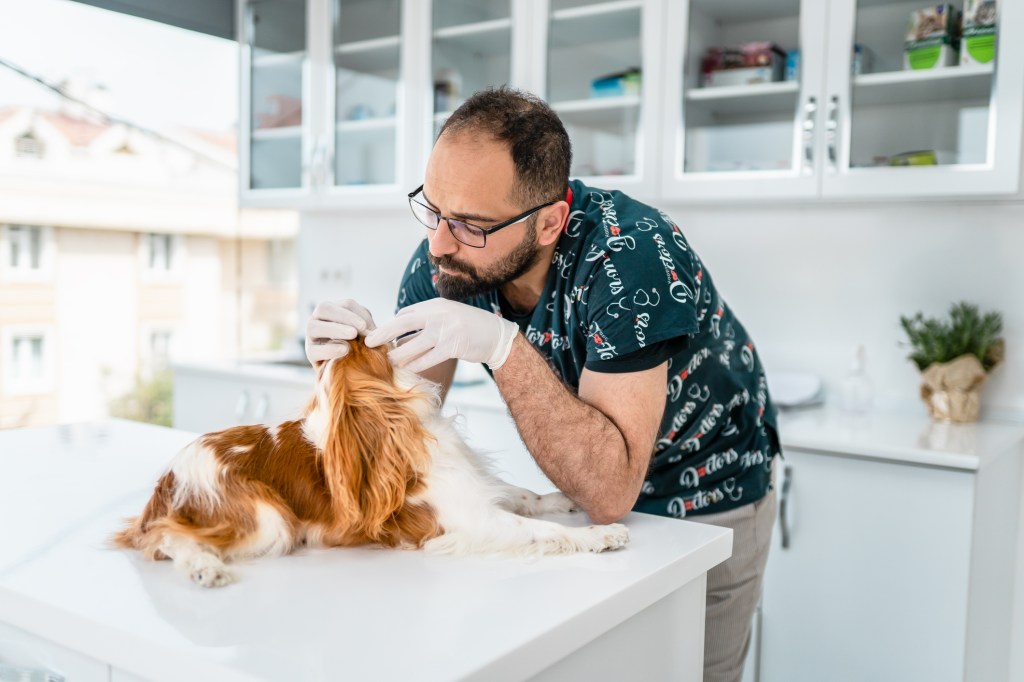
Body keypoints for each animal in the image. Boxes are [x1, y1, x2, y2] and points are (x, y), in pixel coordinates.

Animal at [110, 337, 622, 581]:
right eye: (367, 343)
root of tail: (166, 481)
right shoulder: (468, 521)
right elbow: (540, 530)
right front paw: (600, 535)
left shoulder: (477, 489)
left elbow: (525, 498)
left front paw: (562, 499)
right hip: (268, 520)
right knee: (166, 540)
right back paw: (205, 568)